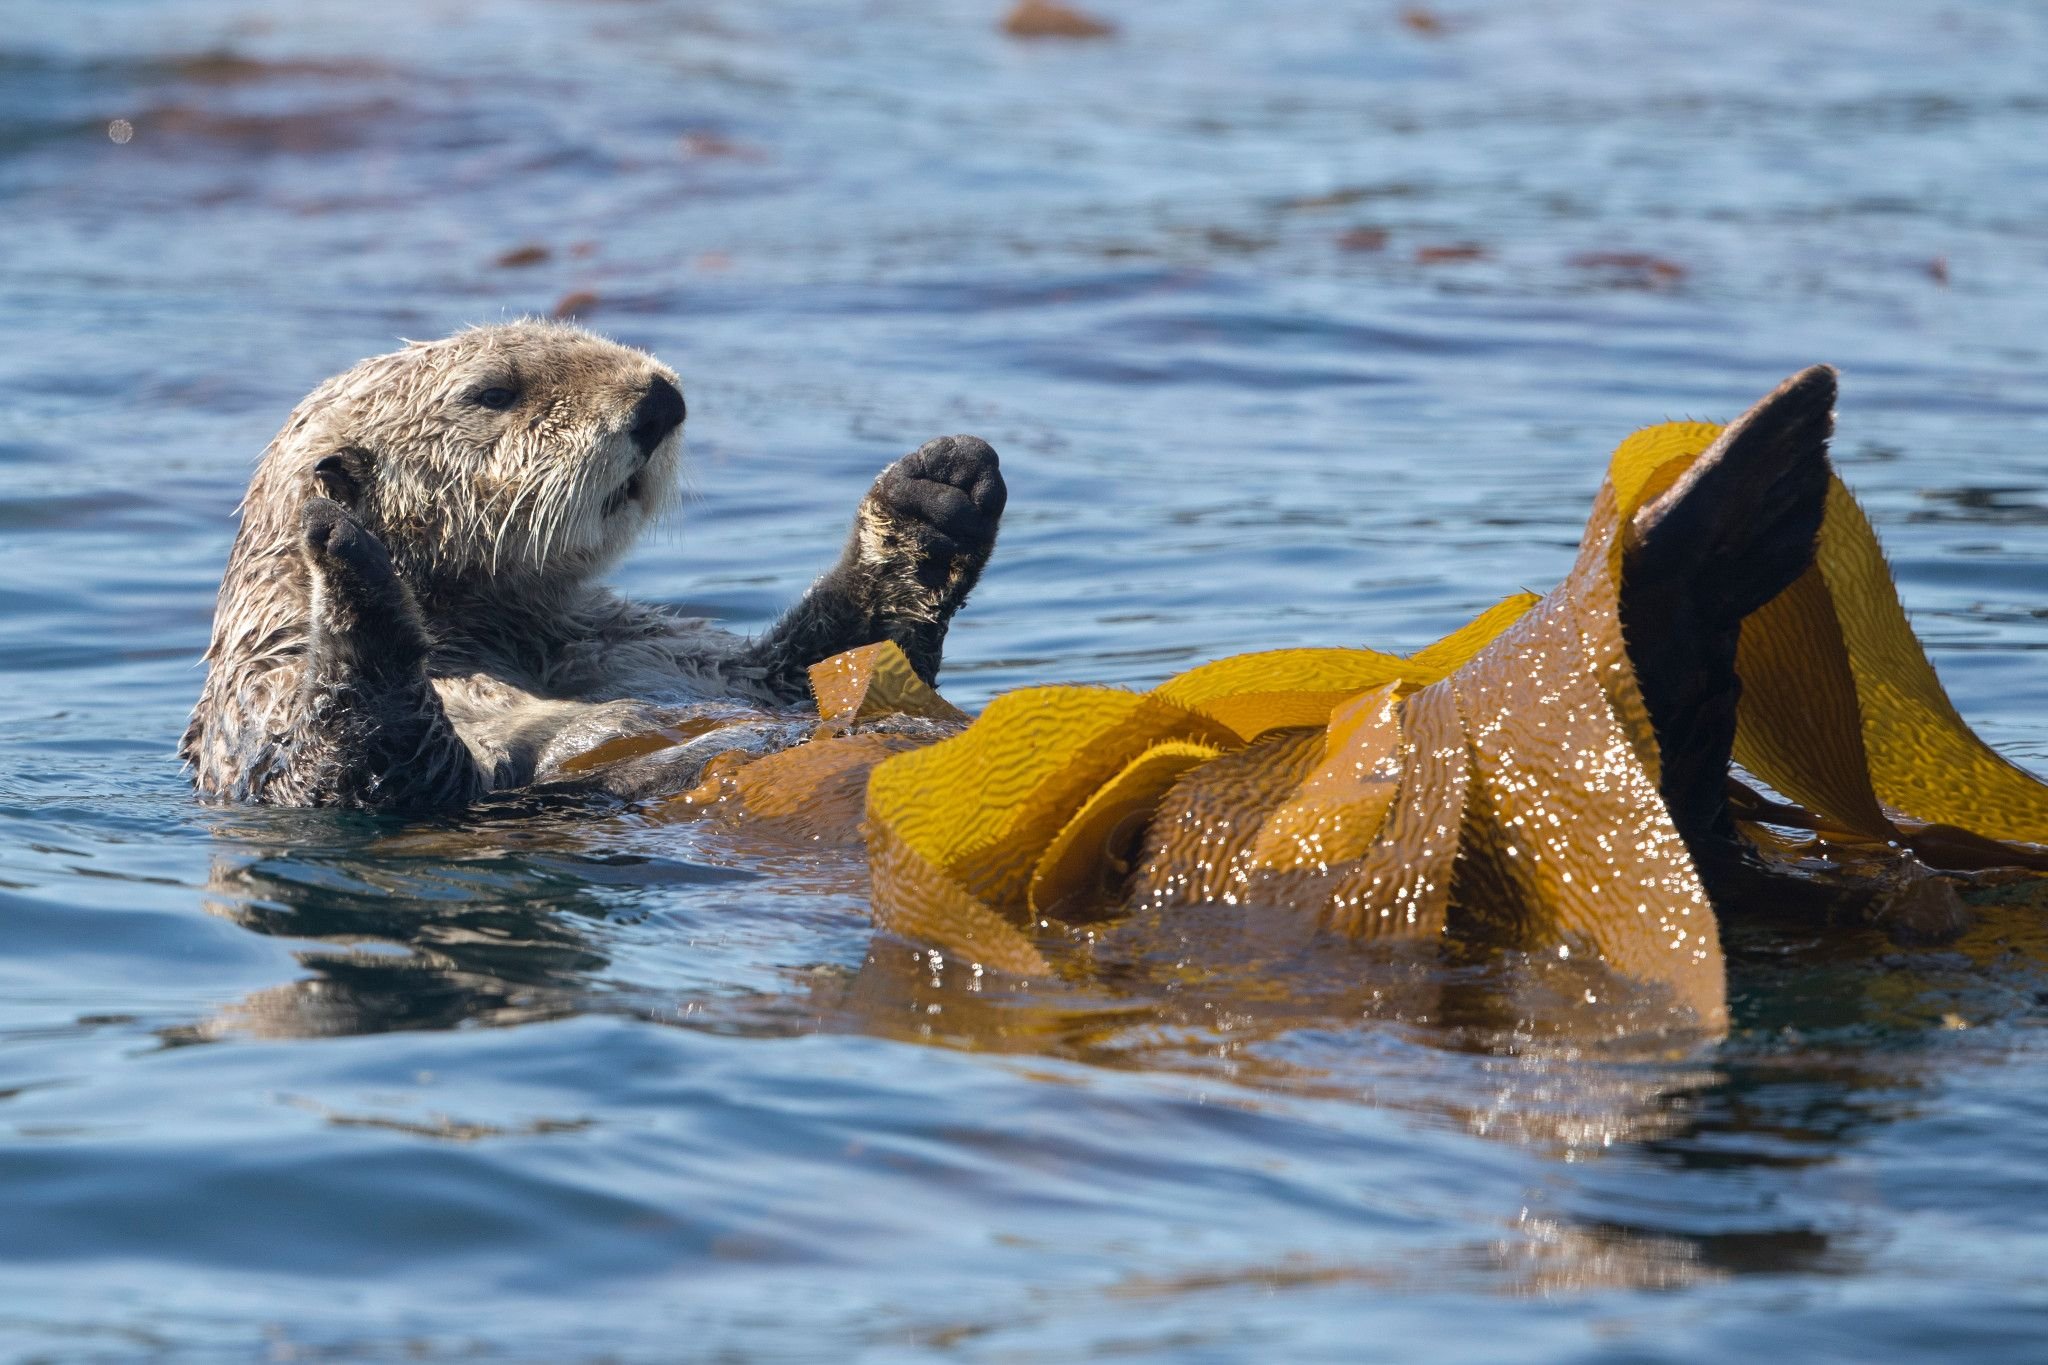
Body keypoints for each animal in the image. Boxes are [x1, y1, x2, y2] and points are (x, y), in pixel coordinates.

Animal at [184, 321, 999, 810]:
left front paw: (935, 492)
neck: (499, 629)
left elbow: (820, 666)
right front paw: (349, 556)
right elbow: (343, 773)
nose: (661, 399)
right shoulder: (265, 696)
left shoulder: (652, 643)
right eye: (493, 392)